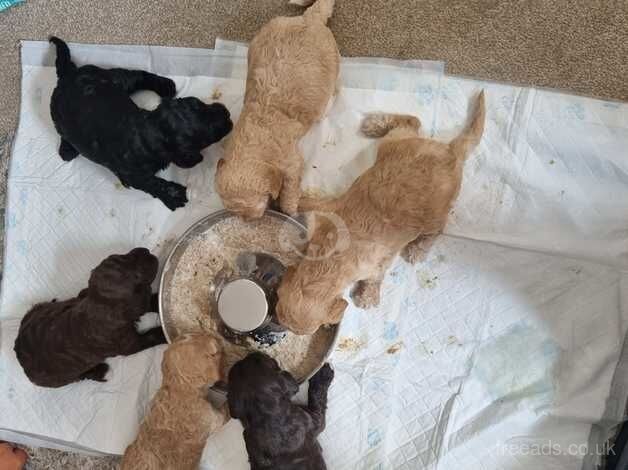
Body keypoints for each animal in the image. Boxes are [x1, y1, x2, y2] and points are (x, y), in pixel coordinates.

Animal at [14, 248, 167, 388]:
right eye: (137, 275)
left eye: (121, 255)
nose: (146, 251)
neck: (98, 304)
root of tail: (18, 354)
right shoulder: (129, 344)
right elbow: (151, 335)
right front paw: (164, 334)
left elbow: (151, 302)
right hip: (61, 379)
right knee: (82, 376)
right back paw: (102, 371)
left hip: (32, 313)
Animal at [47, 37, 232, 210]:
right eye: (209, 135)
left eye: (198, 103)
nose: (227, 113)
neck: (148, 133)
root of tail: (68, 74)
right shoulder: (132, 174)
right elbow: (152, 183)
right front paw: (175, 195)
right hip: (61, 112)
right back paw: (67, 150)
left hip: (114, 79)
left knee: (138, 75)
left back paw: (166, 86)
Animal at [218, 0, 340, 219]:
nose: (247, 221)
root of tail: (310, 17)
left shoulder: (291, 162)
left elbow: (290, 189)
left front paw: (289, 208)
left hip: (333, 58)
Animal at [274, 92, 486, 334]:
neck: (331, 257)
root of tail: (451, 151)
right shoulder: (325, 212)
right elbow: (308, 204)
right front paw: (291, 202)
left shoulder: (378, 262)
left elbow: (376, 277)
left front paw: (368, 297)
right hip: (396, 143)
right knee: (411, 122)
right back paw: (375, 124)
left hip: (435, 212)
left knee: (438, 229)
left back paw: (417, 249)